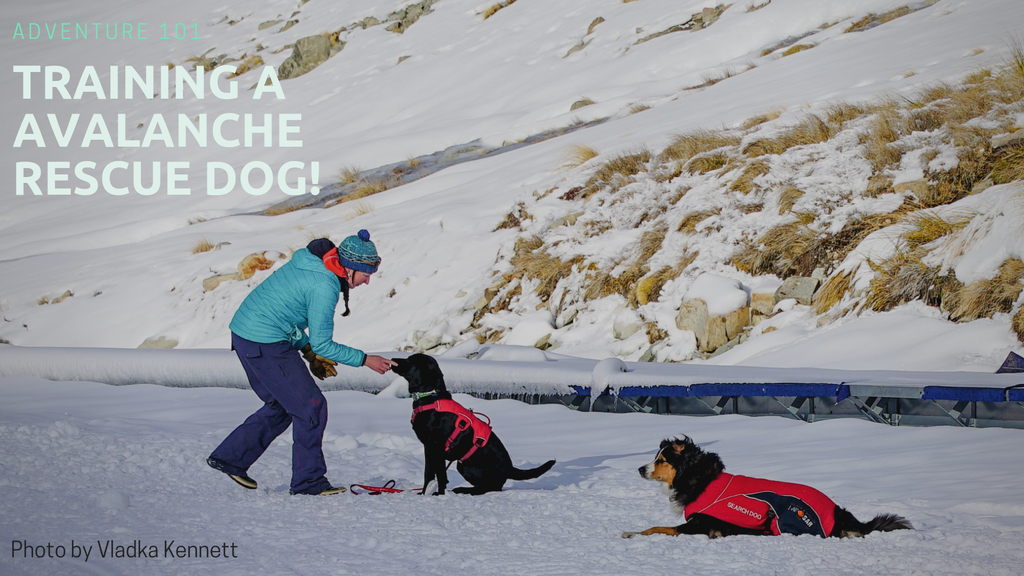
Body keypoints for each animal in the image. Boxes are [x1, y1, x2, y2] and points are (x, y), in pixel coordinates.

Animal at [391, 350, 557, 494]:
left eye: (409, 360)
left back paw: (463, 490)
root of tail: (510, 468)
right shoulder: (429, 448)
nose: (393, 359)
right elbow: (428, 474)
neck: (430, 396)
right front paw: (424, 493)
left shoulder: (436, 447)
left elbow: (441, 476)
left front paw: (439, 494)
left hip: (465, 466)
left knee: (491, 487)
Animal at [618, 434, 917, 537]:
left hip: (785, 519)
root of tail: (837, 511)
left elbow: (656, 528)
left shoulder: (698, 524)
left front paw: (631, 533)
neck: (699, 477)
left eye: (660, 460)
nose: (639, 468)